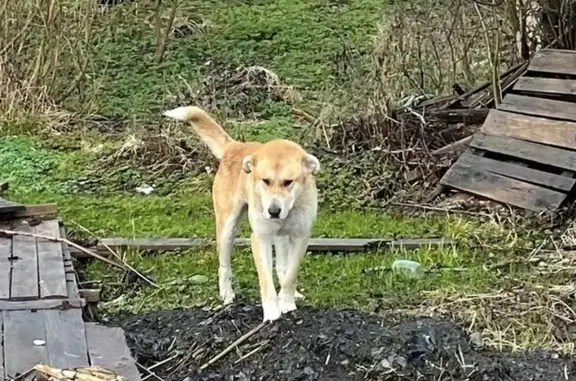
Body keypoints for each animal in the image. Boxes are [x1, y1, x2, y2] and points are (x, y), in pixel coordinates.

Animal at [162, 104, 320, 320]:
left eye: (288, 182)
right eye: (265, 180)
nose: (273, 211)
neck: (290, 208)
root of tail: (235, 146)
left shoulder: (301, 236)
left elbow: (290, 274)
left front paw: (287, 302)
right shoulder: (260, 238)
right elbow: (265, 280)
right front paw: (272, 312)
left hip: (280, 236)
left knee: (282, 266)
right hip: (227, 230)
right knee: (224, 266)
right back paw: (227, 295)